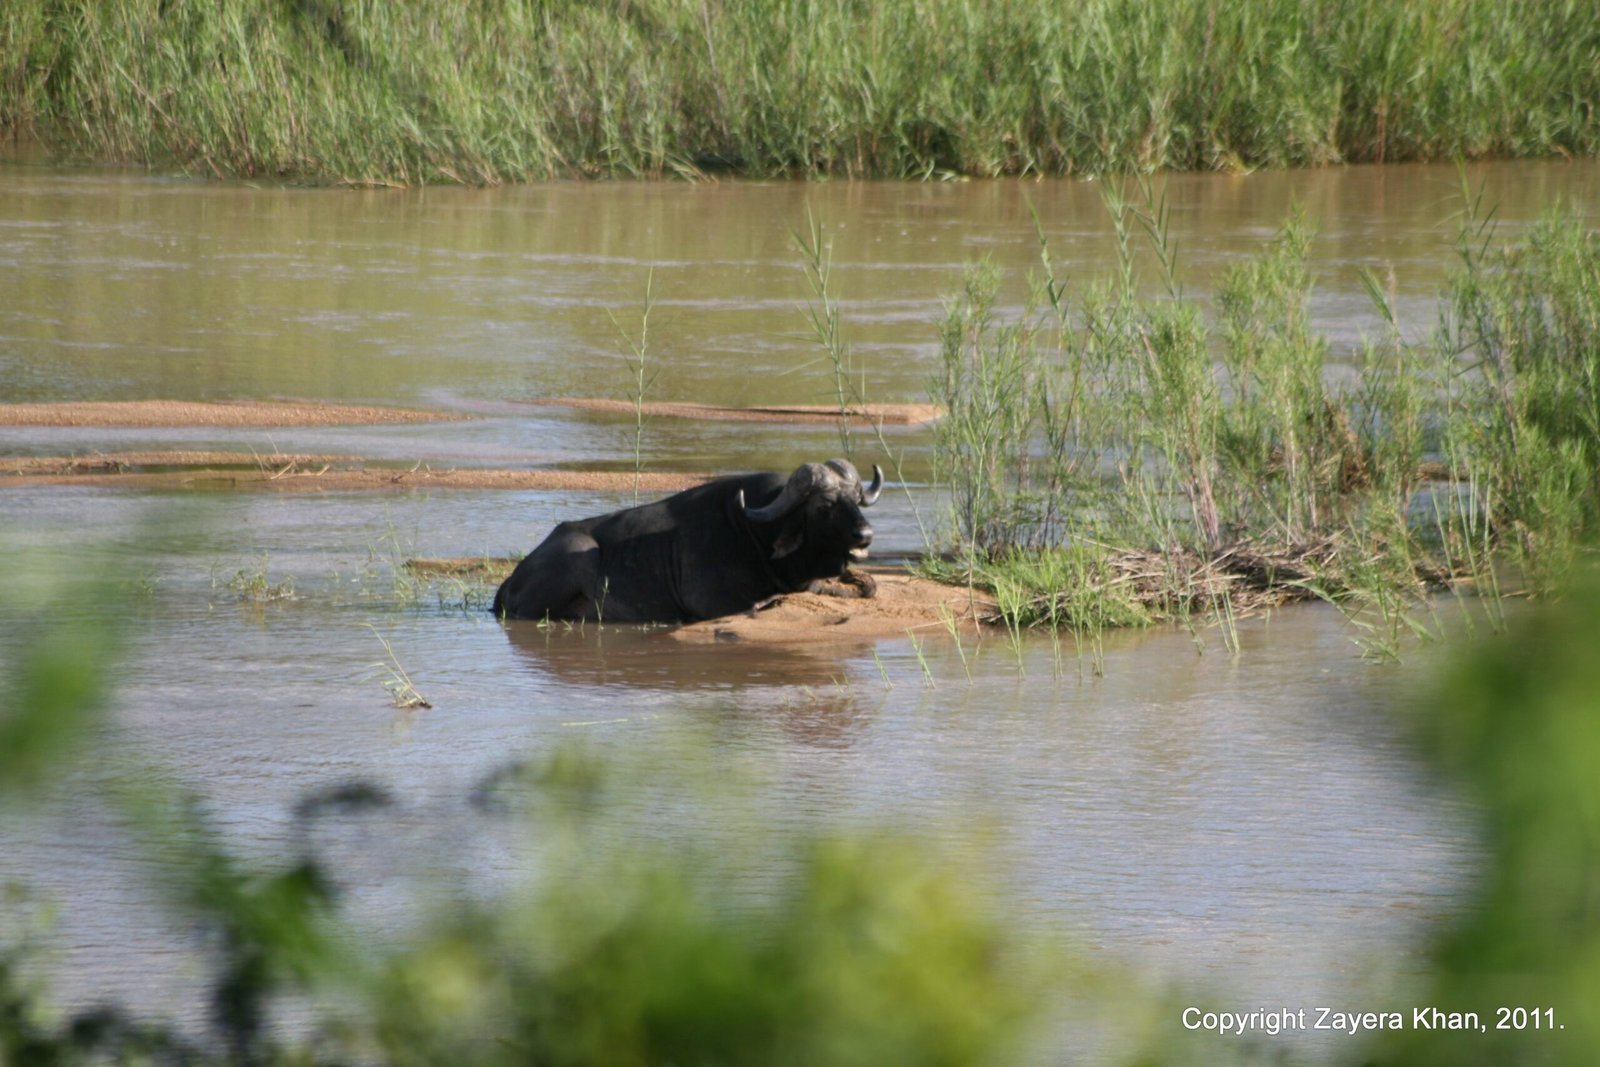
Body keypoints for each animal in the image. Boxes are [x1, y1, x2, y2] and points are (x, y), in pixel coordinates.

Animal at [492, 458, 883, 623]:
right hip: (578, 554)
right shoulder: (710, 601)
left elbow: (866, 587)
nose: (865, 535)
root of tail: (511, 579)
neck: (757, 534)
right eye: (825, 504)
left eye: (856, 497)